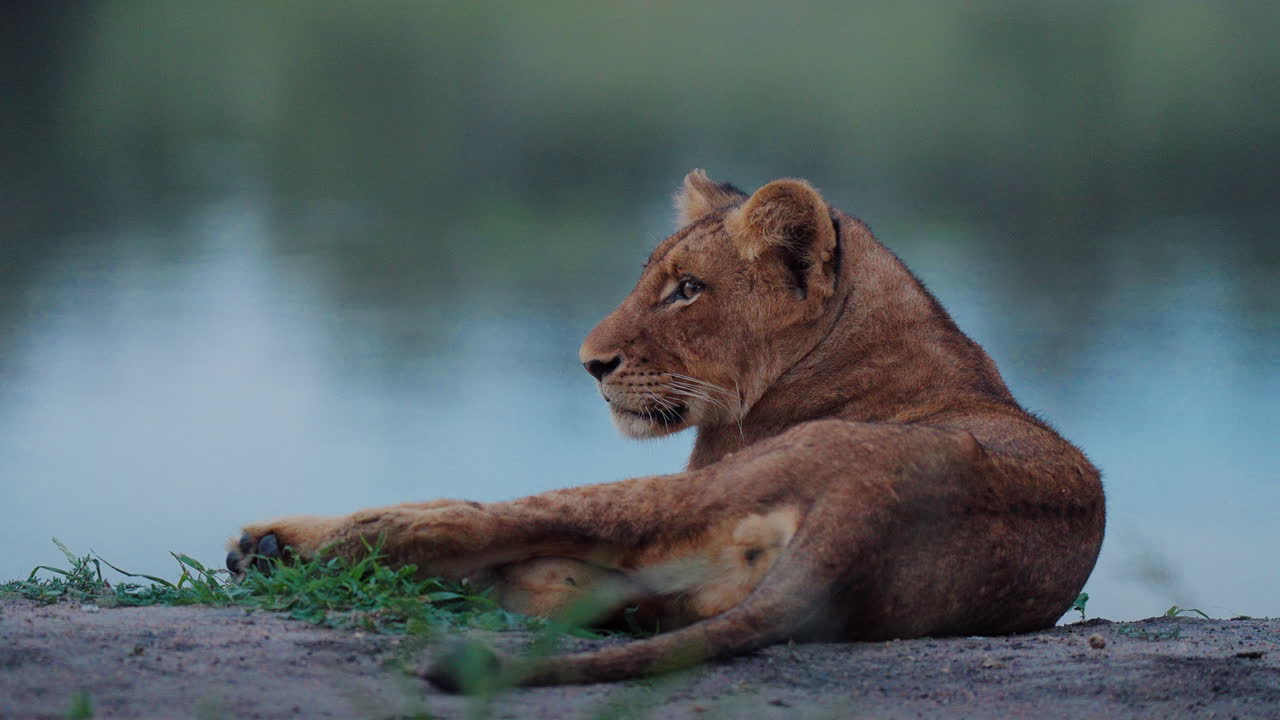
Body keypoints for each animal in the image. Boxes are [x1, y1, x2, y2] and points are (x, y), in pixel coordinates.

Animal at [226, 170, 1105, 689]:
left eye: (687, 290)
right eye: (652, 278)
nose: (590, 364)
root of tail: (870, 512)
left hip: (678, 491)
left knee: (464, 522)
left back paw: (277, 546)